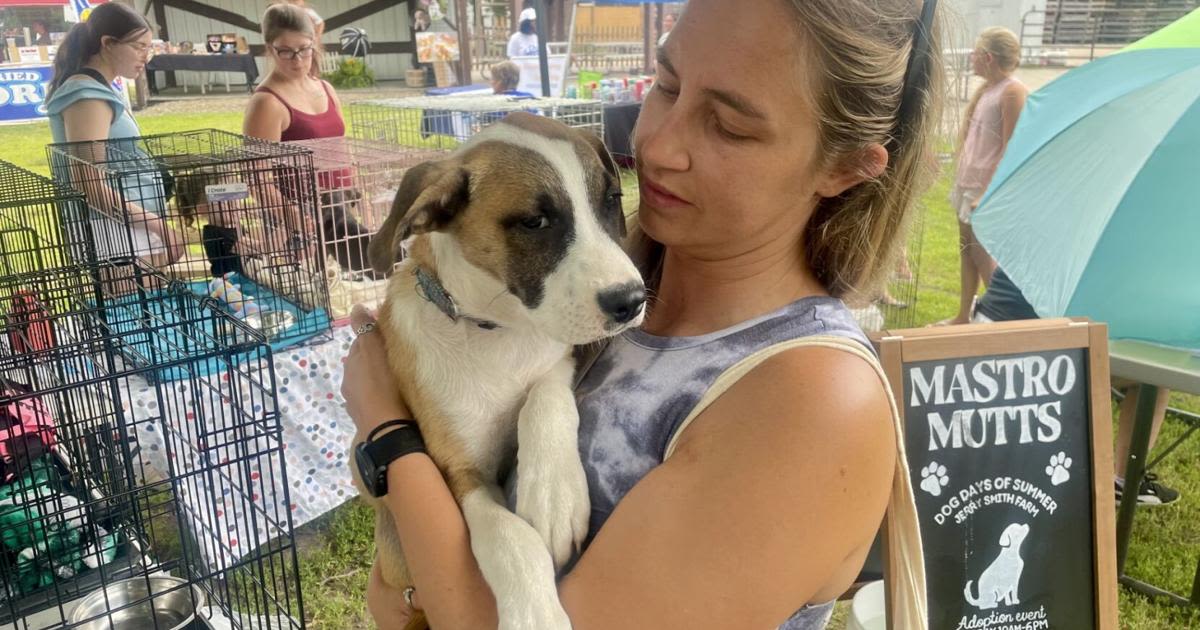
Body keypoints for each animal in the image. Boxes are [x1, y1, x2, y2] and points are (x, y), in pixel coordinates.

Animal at [352, 110, 648, 624]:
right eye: (535, 221)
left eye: (611, 200)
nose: (631, 302)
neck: (498, 332)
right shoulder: (456, 473)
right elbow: (509, 539)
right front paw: (536, 614)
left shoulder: (559, 359)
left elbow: (544, 399)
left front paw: (551, 493)